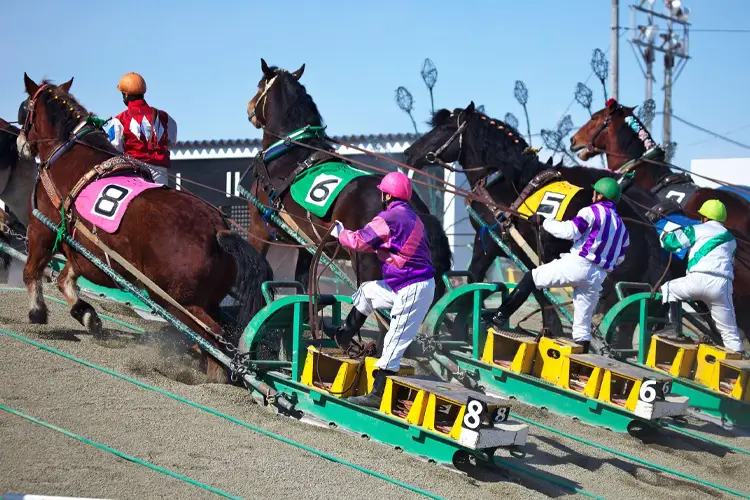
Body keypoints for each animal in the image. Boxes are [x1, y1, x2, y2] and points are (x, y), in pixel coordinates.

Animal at [16, 74, 274, 380]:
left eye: (23, 109)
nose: (20, 143)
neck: (68, 151)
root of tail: (217, 231)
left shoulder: (42, 226)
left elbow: (33, 270)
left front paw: (36, 312)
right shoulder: (81, 250)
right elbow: (65, 278)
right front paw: (85, 313)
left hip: (178, 303)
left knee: (215, 337)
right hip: (205, 301)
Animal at [245, 60, 452, 304]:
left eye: (259, 85)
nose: (249, 108)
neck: (290, 153)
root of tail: (414, 209)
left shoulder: (258, 228)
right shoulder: (306, 243)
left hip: (368, 268)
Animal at [408, 103, 672, 342]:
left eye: (445, 127)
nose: (411, 152)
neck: (504, 181)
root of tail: (646, 227)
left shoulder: (491, 241)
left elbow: (477, 276)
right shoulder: (527, 250)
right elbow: (537, 289)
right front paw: (549, 326)